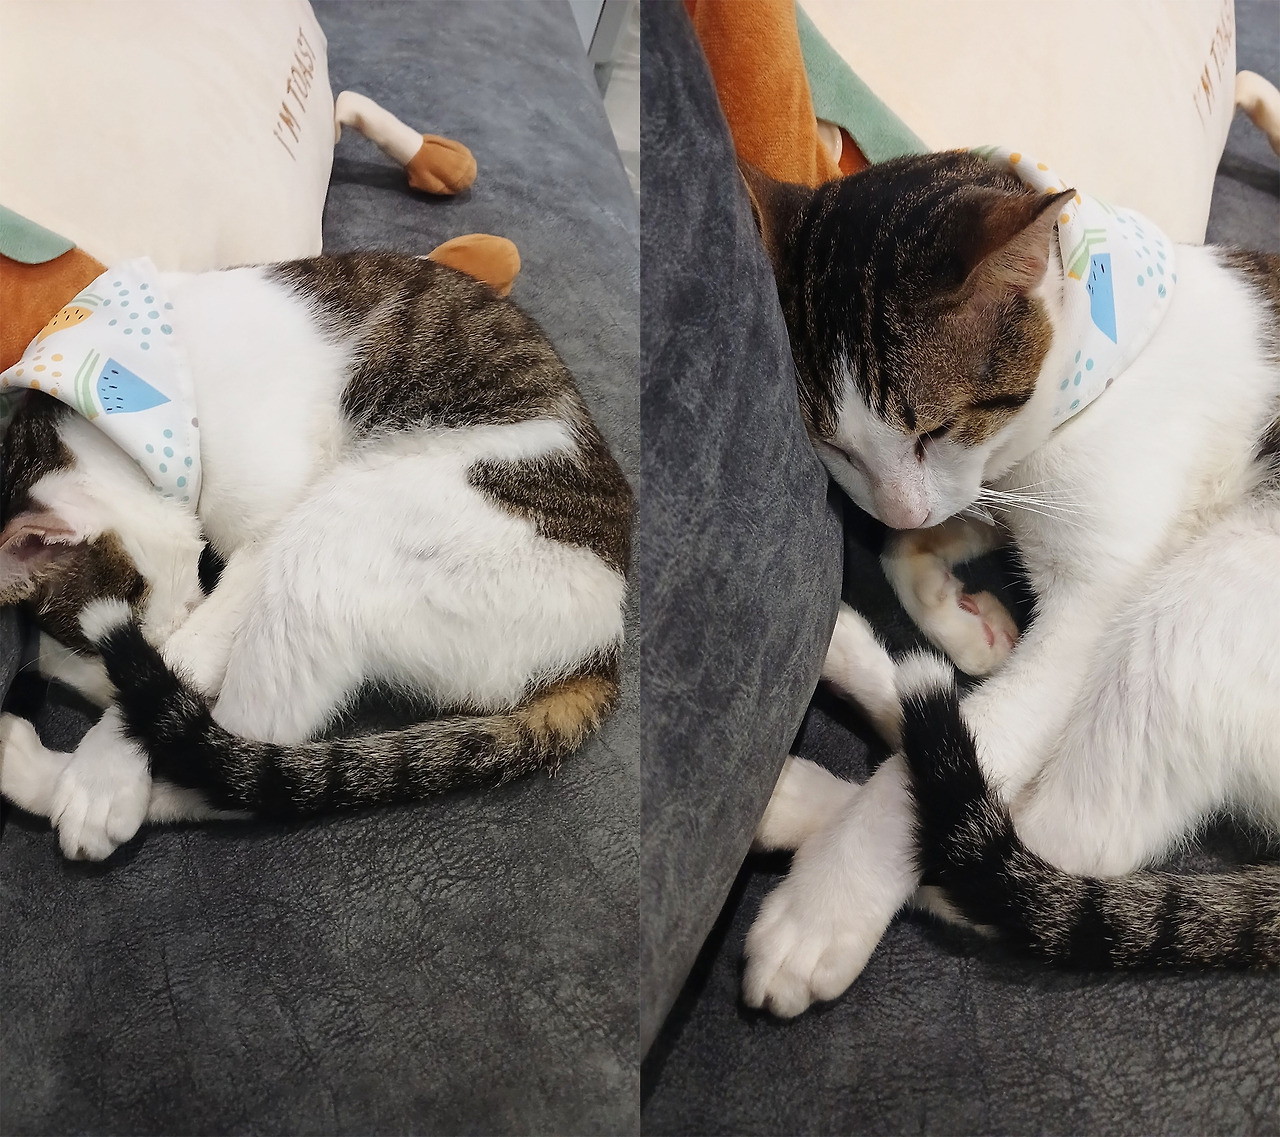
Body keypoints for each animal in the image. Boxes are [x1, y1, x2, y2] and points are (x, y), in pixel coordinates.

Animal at [0, 251, 632, 861]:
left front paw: (102, 773)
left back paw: (44, 772)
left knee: (240, 771)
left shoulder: (266, 536)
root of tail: (600, 651)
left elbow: (185, 653)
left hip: (327, 541)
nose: (126, 658)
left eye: (131, 600)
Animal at [736, 151, 1280, 1018]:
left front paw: (824, 906)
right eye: (836, 448)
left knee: (1041, 844)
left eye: (933, 429)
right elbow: (906, 547)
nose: (890, 500)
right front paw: (964, 622)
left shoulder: (1091, 608)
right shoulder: (992, 492)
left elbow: (977, 745)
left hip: (1197, 606)